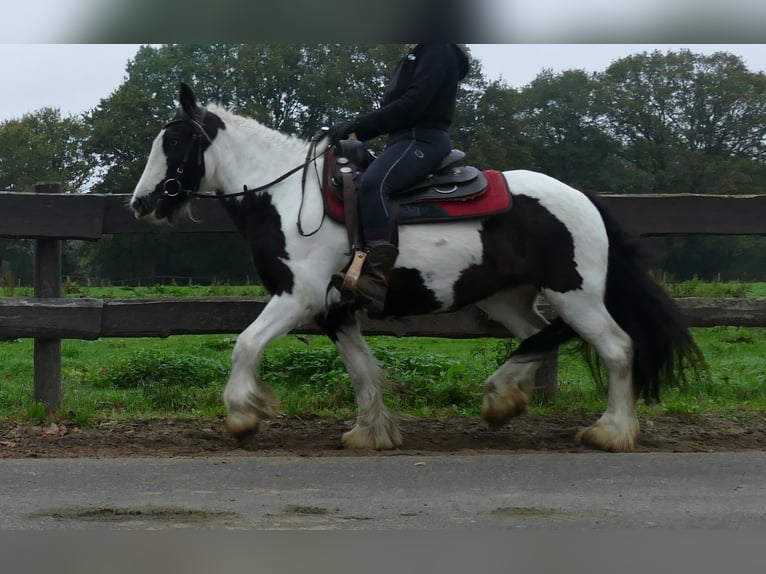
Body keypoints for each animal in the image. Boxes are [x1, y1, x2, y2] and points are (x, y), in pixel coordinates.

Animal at [130, 82, 703, 452]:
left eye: (175, 141)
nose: (140, 204)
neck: (289, 195)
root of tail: (582, 198)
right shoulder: (335, 309)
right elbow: (363, 370)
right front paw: (371, 433)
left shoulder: (300, 296)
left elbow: (246, 345)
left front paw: (243, 416)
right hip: (508, 296)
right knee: (541, 335)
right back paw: (501, 399)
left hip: (575, 293)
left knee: (616, 347)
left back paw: (612, 431)